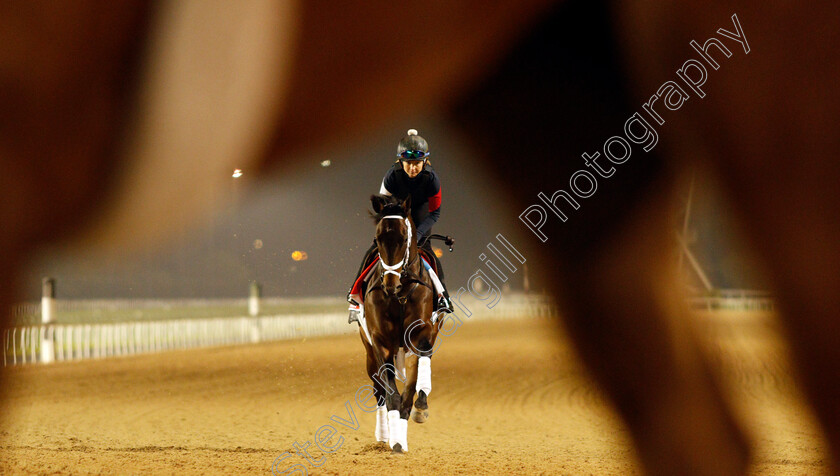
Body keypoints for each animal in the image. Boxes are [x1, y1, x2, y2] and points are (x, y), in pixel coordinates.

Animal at [360, 194, 442, 454]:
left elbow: (411, 388)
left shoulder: (421, 335)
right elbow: (391, 395)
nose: (389, 284)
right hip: (368, 349)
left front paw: (418, 409)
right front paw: (395, 440)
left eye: (404, 238)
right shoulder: (380, 341)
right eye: (378, 238)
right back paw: (384, 434)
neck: (401, 295)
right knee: (378, 390)